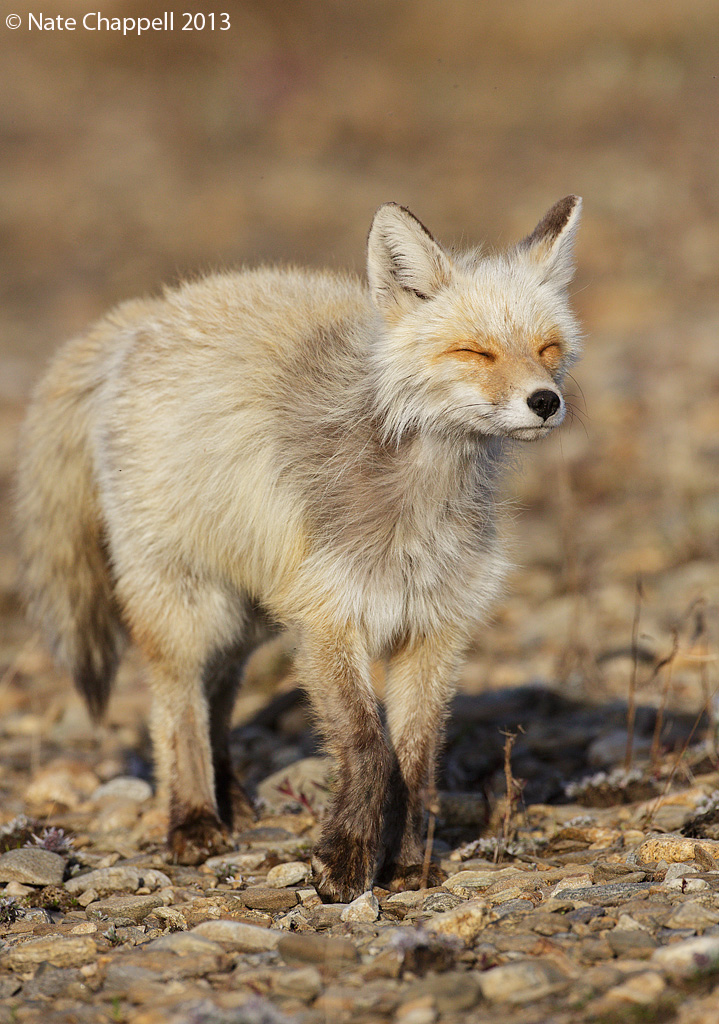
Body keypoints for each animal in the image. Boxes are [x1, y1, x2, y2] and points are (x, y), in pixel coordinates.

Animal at [15, 195, 582, 901]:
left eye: (548, 347)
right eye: (474, 351)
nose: (546, 401)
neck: (415, 511)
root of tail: (149, 311)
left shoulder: (434, 628)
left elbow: (417, 760)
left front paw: (406, 863)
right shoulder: (328, 618)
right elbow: (368, 747)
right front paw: (345, 861)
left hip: (247, 613)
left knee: (218, 693)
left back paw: (229, 795)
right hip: (185, 603)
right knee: (176, 707)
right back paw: (194, 817)